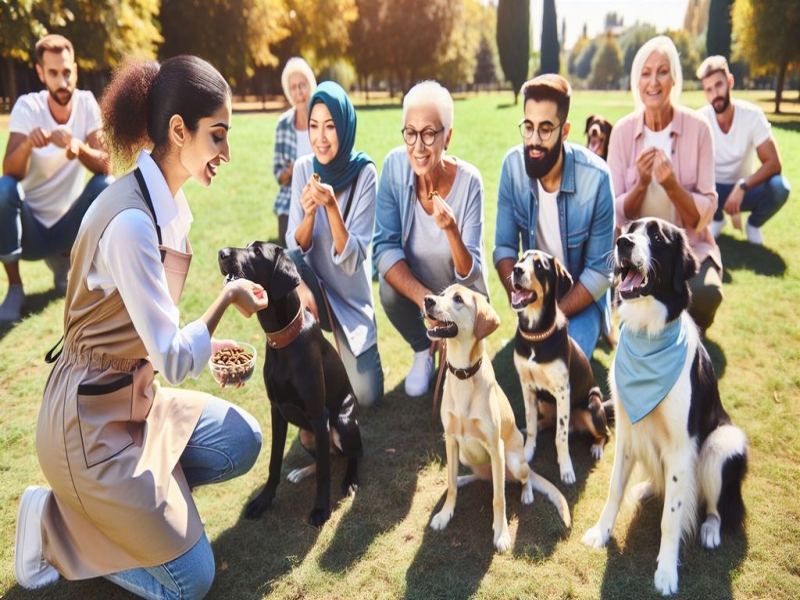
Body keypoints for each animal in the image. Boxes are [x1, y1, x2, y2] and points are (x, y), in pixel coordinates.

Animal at [216, 241, 360, 528]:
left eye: (257, 252)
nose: (221, 253)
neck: (284, 339)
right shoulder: (277, 410)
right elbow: (274, 462)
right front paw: (264, 500)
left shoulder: (318, 414)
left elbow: (325, 474)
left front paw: (321, 509)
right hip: (306, 435)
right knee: (327, 457)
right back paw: (301, 471)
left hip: (342, 424)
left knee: (353, 454)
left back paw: (350, 479)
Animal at [422, 284, 572, 552]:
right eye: (441, 294)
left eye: (458, 299)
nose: (427, 300)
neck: (463, 375)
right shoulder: (451, 440)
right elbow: (450, 486)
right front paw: (444, 514)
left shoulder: (495, 447)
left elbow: (498, 498)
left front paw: (501, 533)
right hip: (465, 455)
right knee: (482, 477)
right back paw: (464, 478)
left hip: (513, 461)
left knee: (523, 478)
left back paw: (526, 493)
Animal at [512, 251, 612, 486]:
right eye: (521, 259)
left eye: (539, 266)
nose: (516, 270)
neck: (535, 334)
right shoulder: (527, 386)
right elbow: (531, 425)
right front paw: (528, 451)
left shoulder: (562, 391)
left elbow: (561, 436)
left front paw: (566, 469)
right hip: (543, 401)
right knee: (545, 421)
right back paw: (538, 425)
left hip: (592, 406)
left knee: (605, 433)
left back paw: (597, 447)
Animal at [580, 219, 752, 596]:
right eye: (629, 229)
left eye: (657, 237)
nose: (623, 242)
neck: (648, 332)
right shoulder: (626, 431)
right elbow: (614, 489)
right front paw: (601, 532)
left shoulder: (681, 446)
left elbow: (671, 518)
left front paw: (666, 572)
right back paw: (647, 488)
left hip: (723, 443)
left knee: (716, 507)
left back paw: (710, 530)